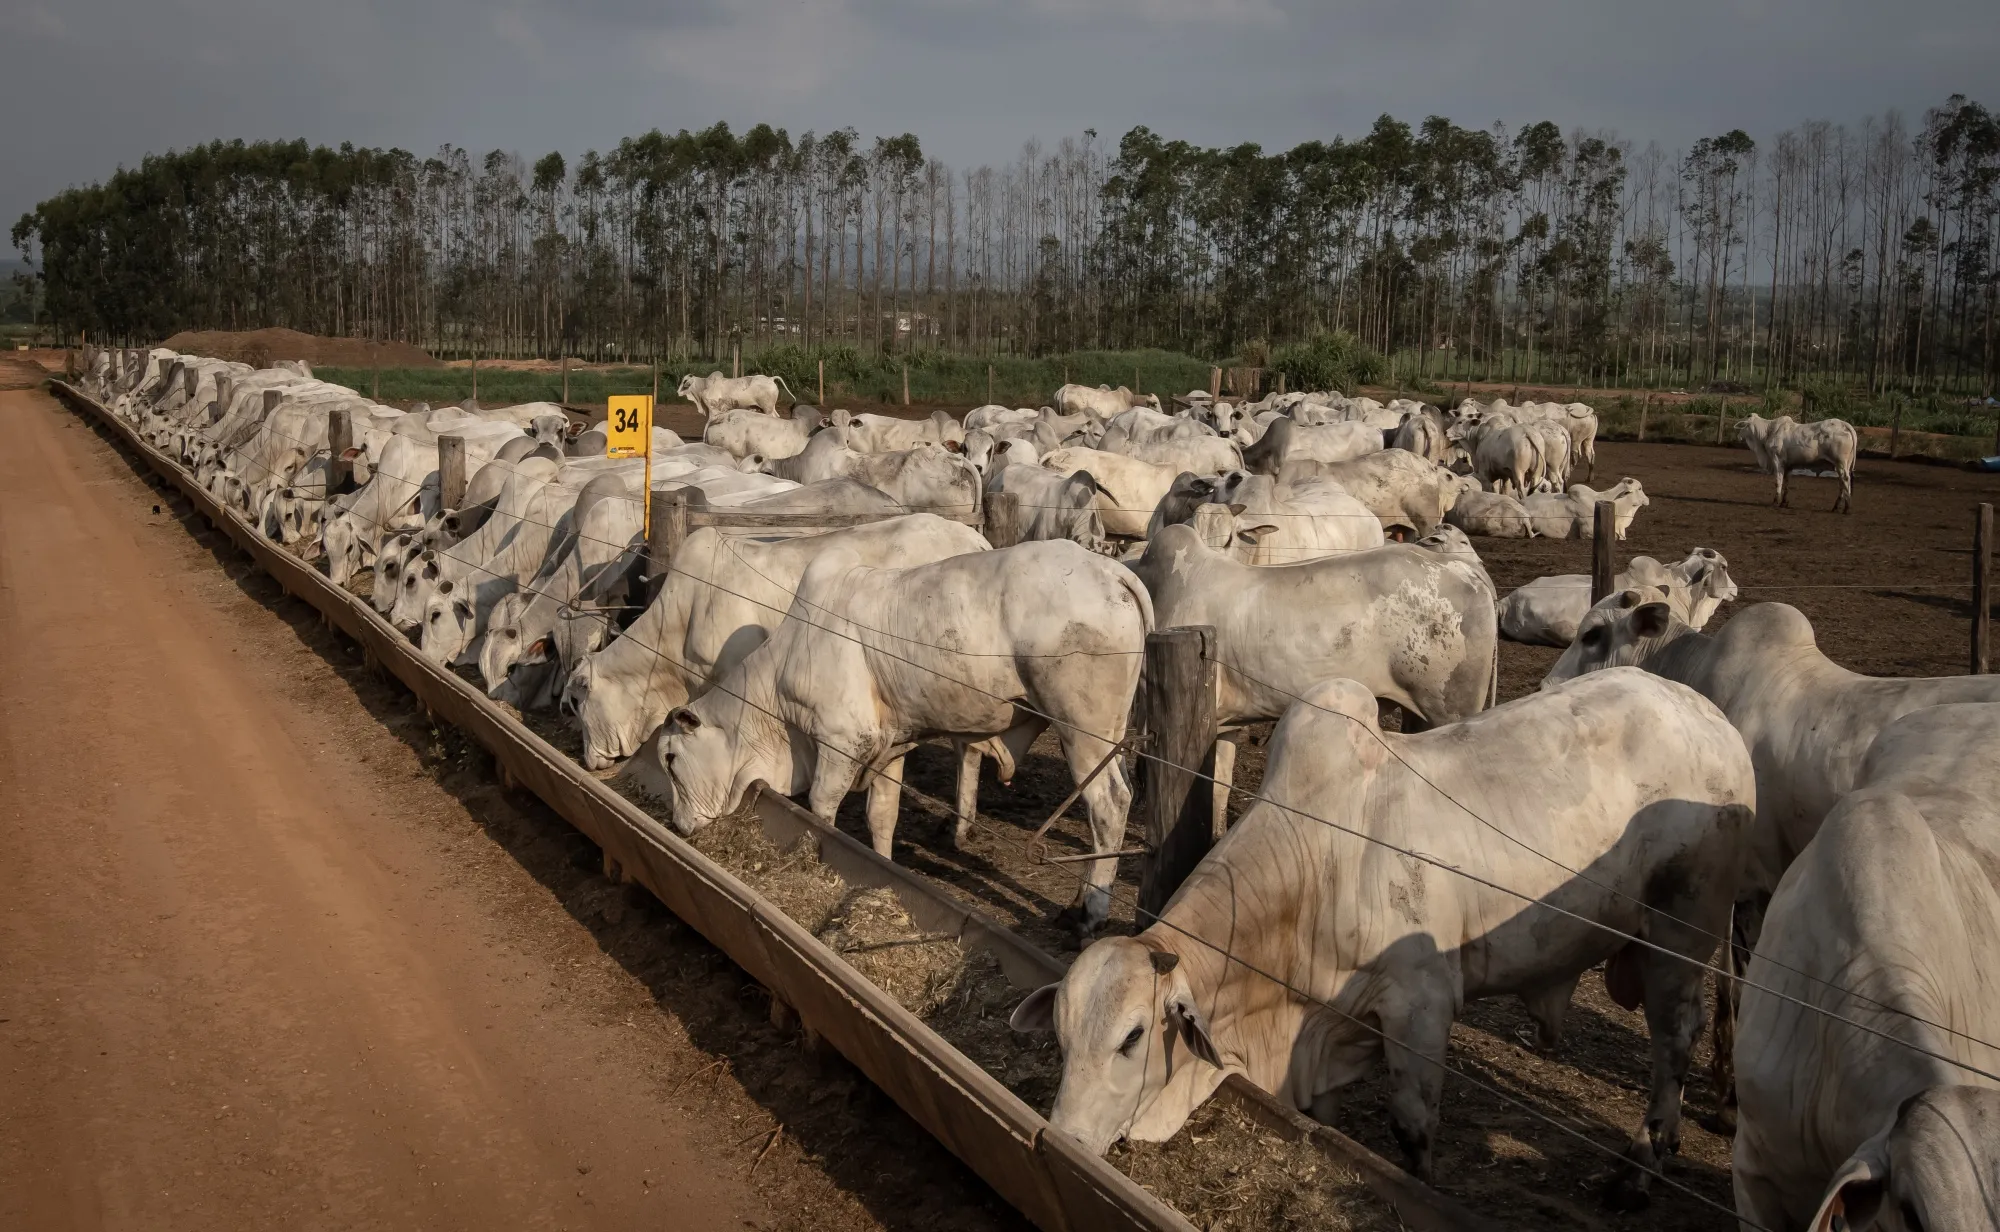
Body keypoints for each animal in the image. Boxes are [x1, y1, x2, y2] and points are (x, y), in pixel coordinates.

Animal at [657, 540, 1153, 932]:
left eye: (670, 758)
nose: (679, 825)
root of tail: (1111, 569)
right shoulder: (889, 747)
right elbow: (882, 817)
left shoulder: (842, 743)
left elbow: (822, 811)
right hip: (1111, 734)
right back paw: (1077, 901)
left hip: (1083, 730)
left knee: (1109, 804)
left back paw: (1089, 914)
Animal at [1010, 668, 1752, 1198]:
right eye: (1063, 1036)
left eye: (1133, 1038)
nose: (1064, 1137)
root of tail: (1712, 717)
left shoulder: (1420, 1007)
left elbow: (1413, 1129)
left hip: (1682, 934)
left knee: (1674, 1040)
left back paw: (1644, 1162)